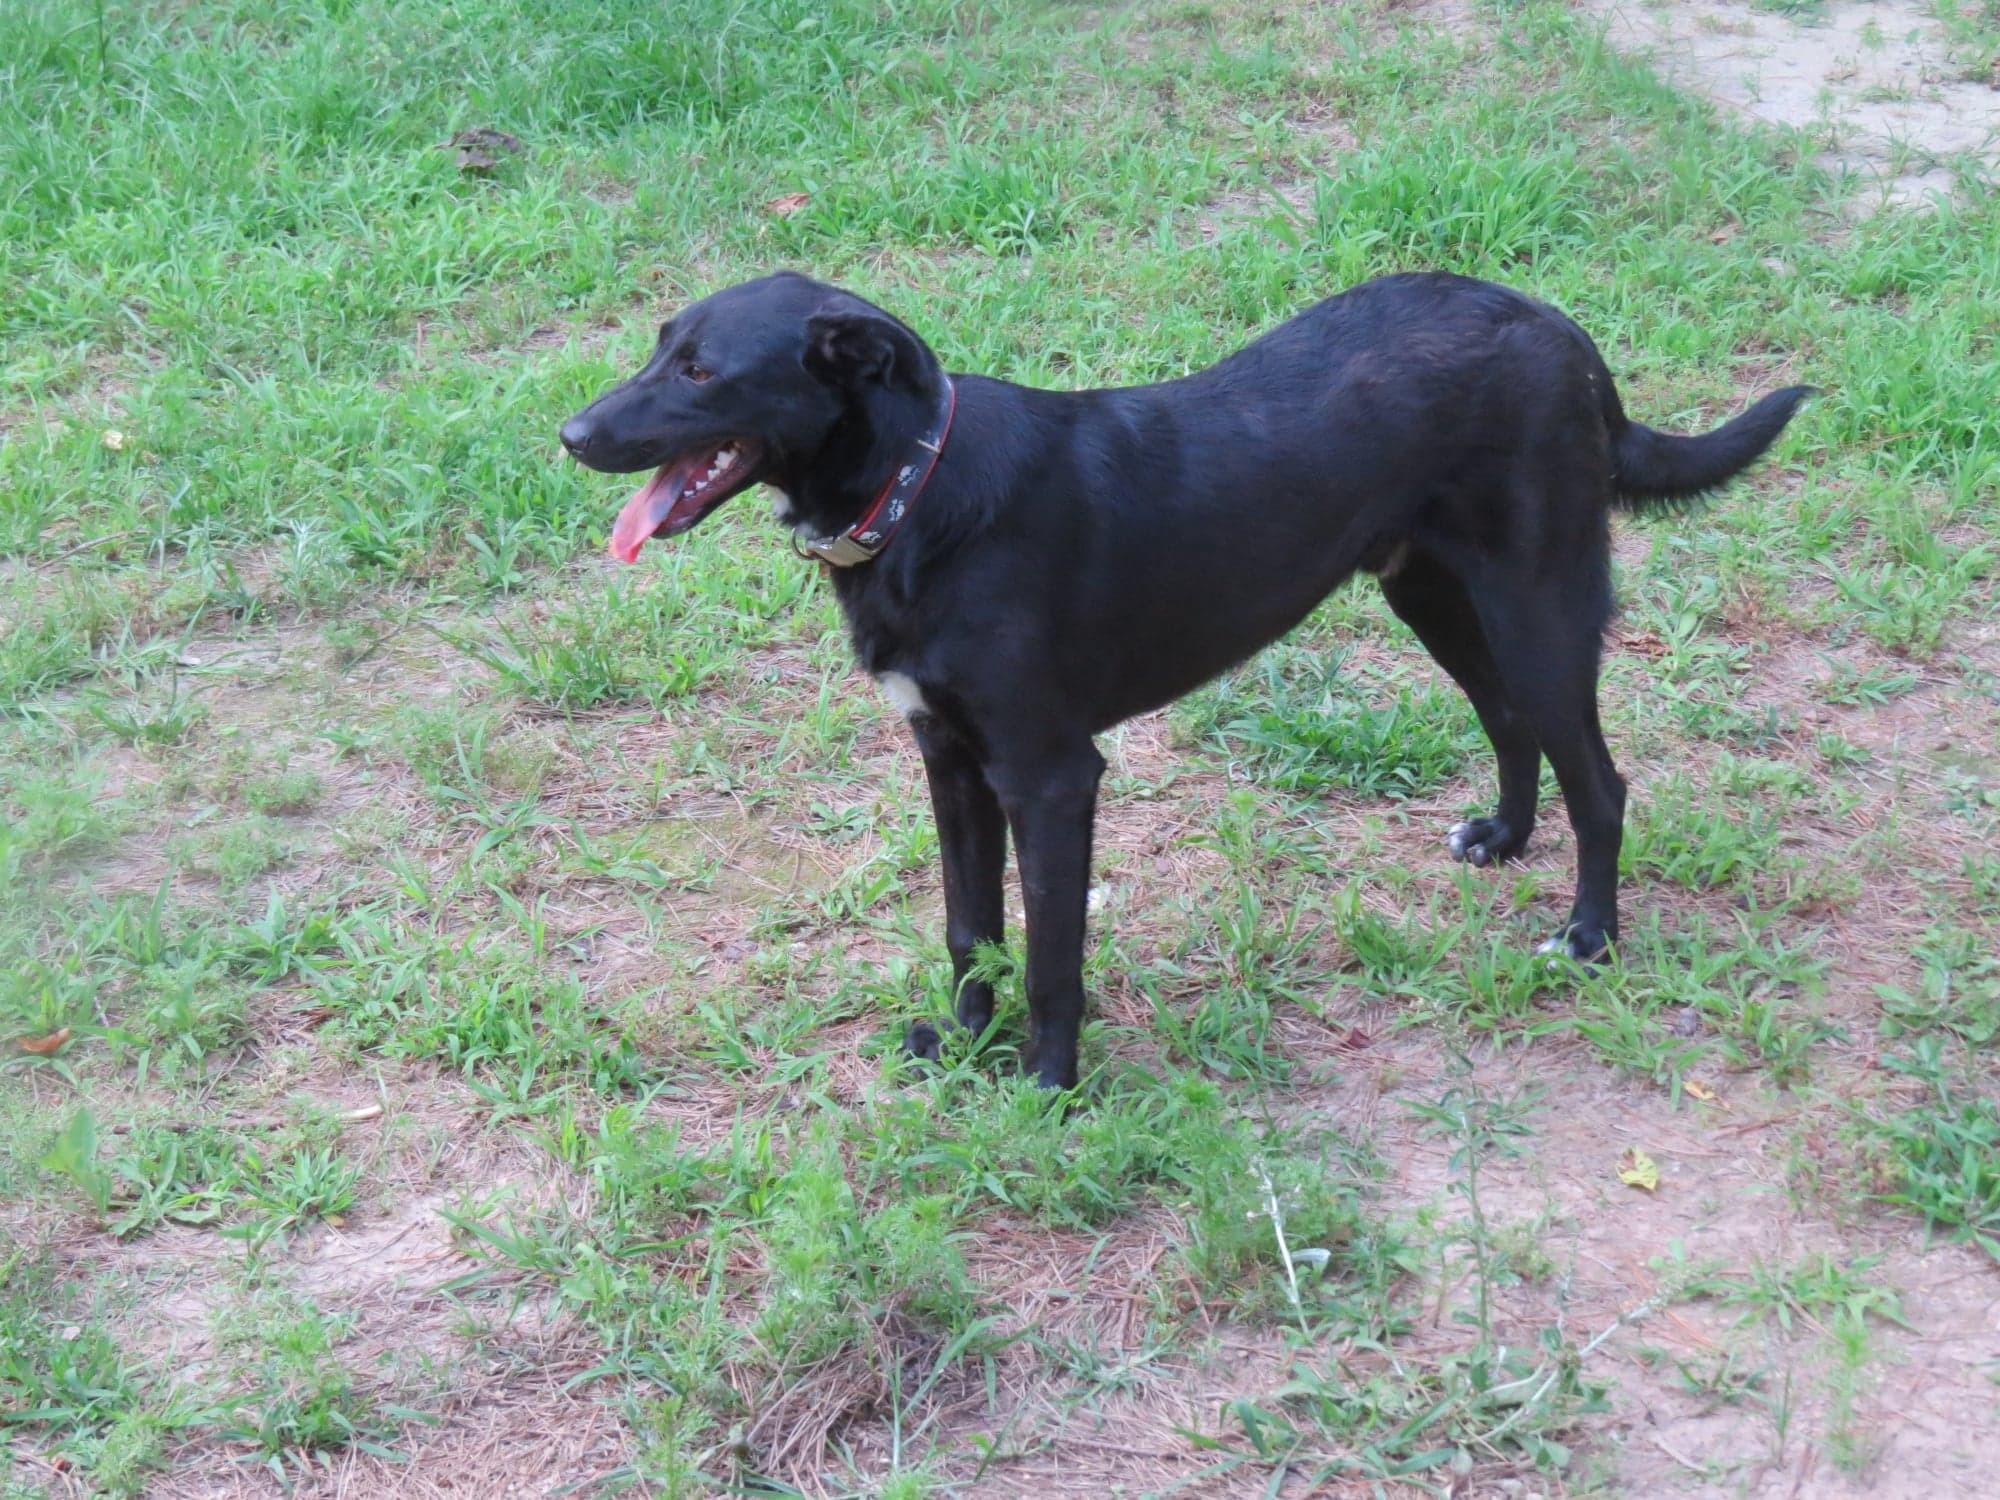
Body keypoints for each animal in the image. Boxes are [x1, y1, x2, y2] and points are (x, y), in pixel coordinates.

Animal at [564, 274, 1816, 1096]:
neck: (916, 493)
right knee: (1508, 722)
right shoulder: (949, 765)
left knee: (1599, 779)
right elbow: (971, 931)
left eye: (701, 370)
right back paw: (1502, 840)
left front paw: (1045, 1087)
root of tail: (1564, 334)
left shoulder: (1050, 776)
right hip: (1431, 593)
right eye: (658, 346)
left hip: (1538, 602)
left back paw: (1588, 938)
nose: (571, 433)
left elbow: (1050, 956)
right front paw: (963, 1049)